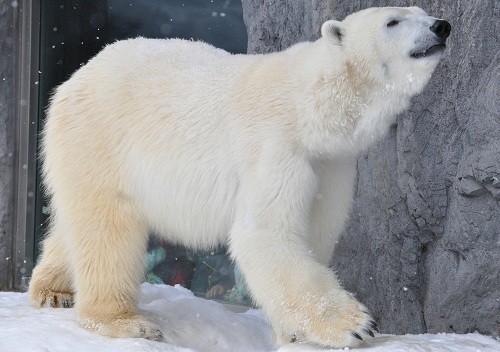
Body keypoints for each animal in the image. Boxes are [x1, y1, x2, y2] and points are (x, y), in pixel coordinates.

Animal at [29, 6, 452, 350]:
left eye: (422, 10)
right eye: (392, 21)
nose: (442, 26)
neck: (311, 106)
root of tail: (74, 79)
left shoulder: (330, 164)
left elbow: (314, 233)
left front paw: (294, 333)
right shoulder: (273, 146)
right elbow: (265, 233)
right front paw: (356, 324)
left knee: (77, 223)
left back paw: (54, 290)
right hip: (100, 139)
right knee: (107, 226)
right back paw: (123, 320)